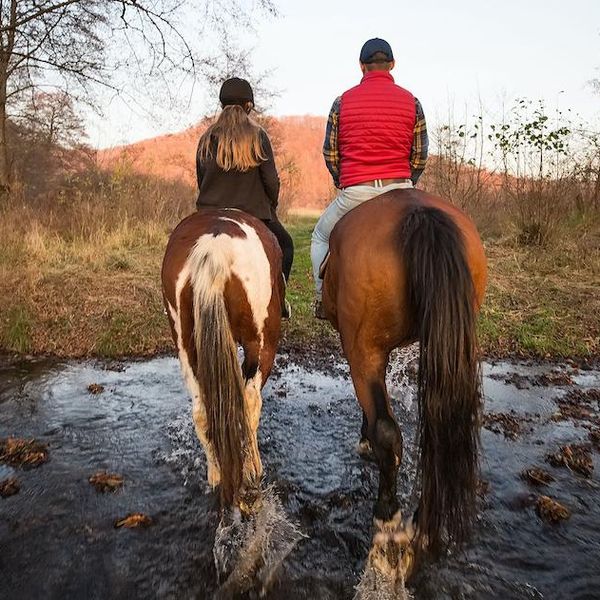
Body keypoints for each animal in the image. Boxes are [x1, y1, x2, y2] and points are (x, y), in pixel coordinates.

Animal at [161, 207, 284, 584]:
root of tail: (214, 246)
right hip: (262, 341)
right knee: (249, 402)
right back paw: (251, 469)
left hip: (187, 344)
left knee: (202, 411)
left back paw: (216, 474)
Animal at [322, 190, 486, 588]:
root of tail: (417, 211)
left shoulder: (361, 354)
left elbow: (376, 417)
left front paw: (364, 439)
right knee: (439, 431)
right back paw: (424, 528)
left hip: (364, 351)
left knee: (388, 433)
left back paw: (388, 529)